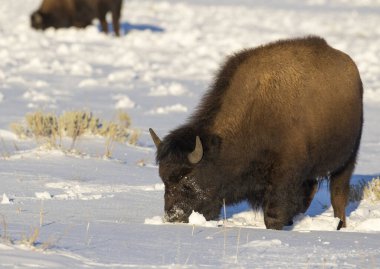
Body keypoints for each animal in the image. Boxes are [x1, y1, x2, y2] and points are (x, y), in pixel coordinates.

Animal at [150, 35, 364, 229]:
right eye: (164, 181)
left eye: (187, 183)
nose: (174, 217)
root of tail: (351, 68)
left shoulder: (284, 176)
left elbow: (274, 214)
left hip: (346, 160)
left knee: (338, 195)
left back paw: (339, 225)